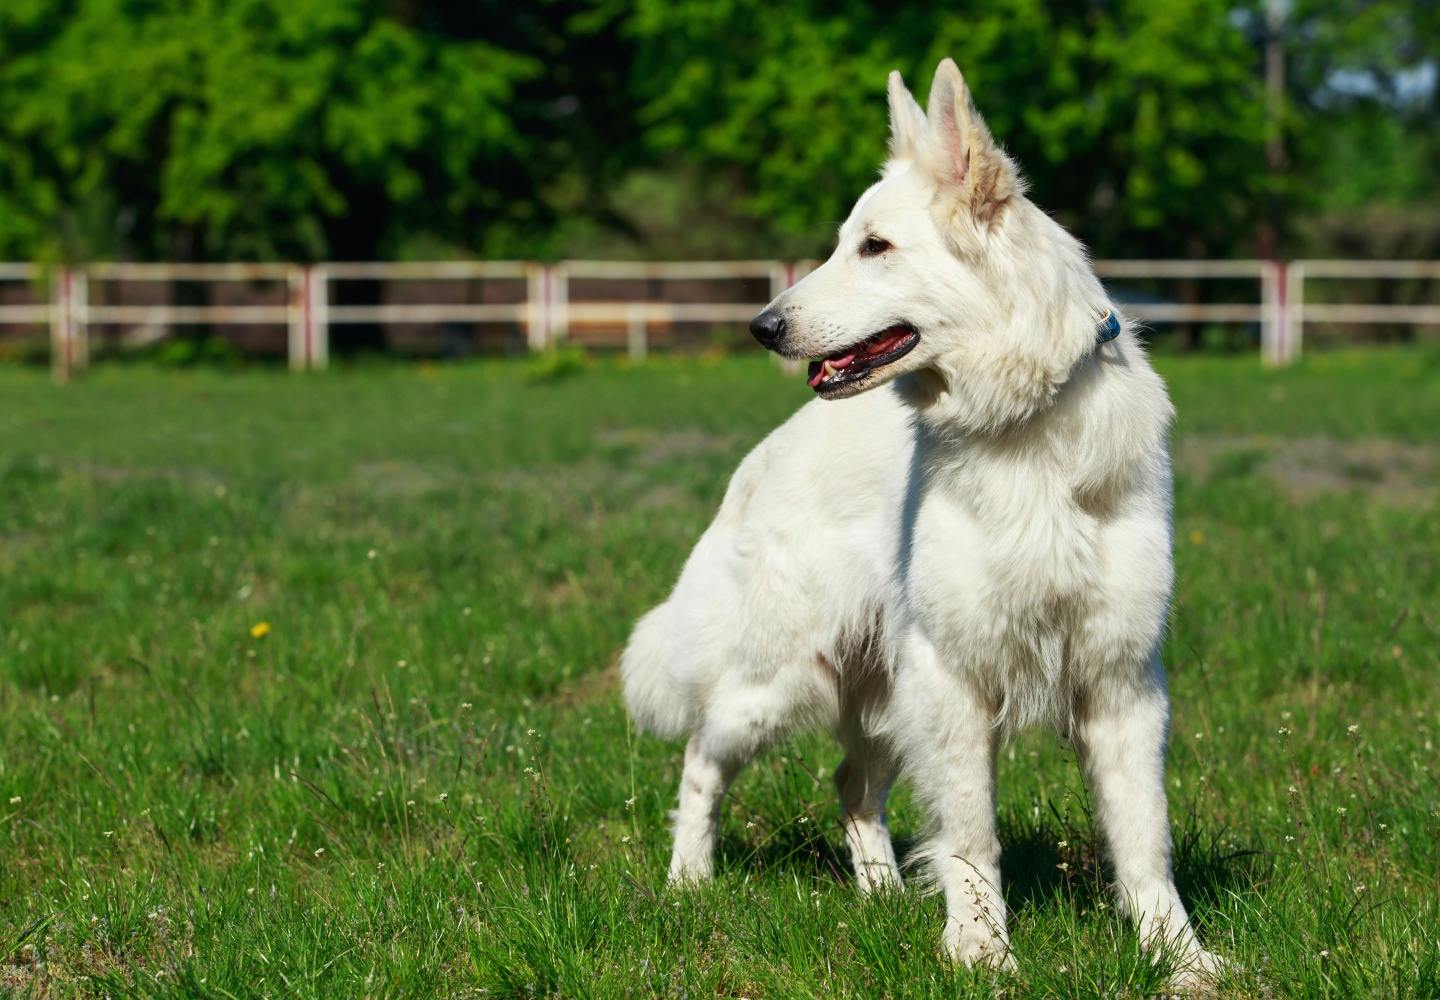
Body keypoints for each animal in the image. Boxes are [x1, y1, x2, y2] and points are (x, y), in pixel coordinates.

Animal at [624, 60, 1221, 985]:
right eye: (844, 242)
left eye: (874, 247)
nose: (761, 327)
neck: (1024, 428)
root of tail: (762, 459)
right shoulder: (954, 677)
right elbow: (973, 836)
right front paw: (980, 950)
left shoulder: (1120, 681)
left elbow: (1143, 839)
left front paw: (1178, 957)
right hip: (779, 684)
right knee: (700, 759)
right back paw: (689, 880)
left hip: (880, 690)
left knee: (850, 783)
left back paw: (880, 894)